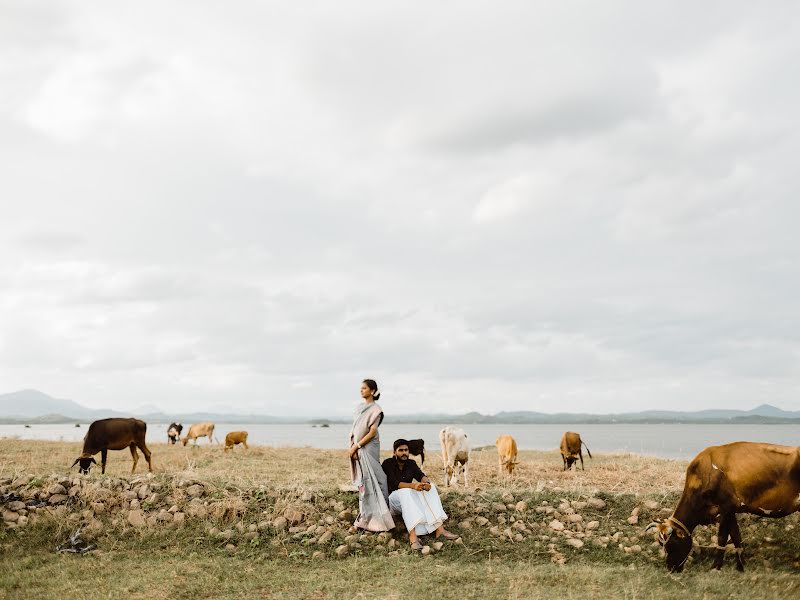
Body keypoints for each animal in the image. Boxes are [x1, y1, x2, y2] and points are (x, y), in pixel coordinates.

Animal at [648, 440, 800, 572]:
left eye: (672, 544)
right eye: (661, 544)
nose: (671, 568)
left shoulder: (726, 506)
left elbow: (722, 538)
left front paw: (716, 566)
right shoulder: (731, 509)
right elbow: (736, 536)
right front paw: (741, 565)